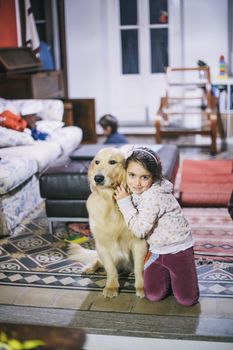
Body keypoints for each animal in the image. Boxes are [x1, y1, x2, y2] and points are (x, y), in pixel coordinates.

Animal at [68, 147, 147, 298]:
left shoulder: (139, 242)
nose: (97, 178)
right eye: (97, 162)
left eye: (112, 162)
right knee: (98, 260)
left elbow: (139, 268)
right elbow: (110, 268)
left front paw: (141, 287)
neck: (112, 202)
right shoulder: (102, 243)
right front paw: (111, 287)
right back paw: (90, 267)